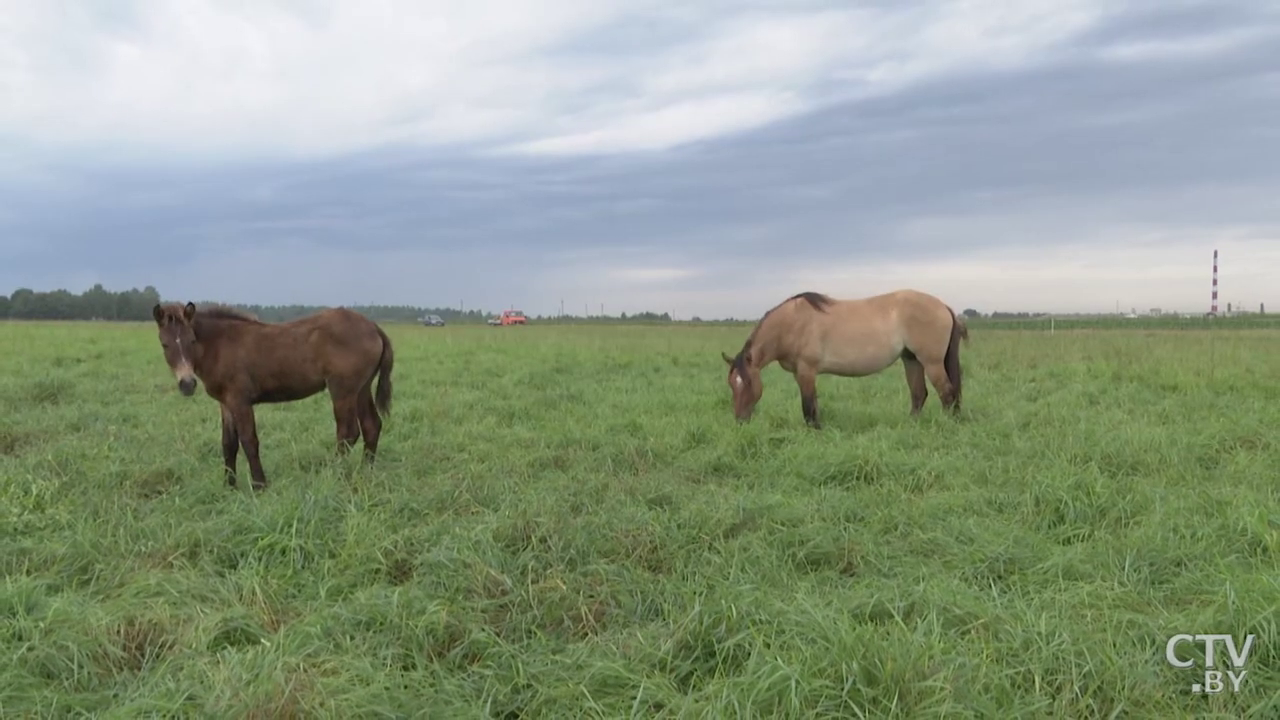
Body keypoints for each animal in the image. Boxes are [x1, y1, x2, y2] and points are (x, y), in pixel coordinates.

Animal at [149, 299, 391, 489]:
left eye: (191, 340)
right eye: (164, 344)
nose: (187, 384)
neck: (220, 346)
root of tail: (373, 327)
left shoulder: (240, 400)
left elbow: (248, 441)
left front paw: (259, 485)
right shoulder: (225, 403)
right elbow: (228, 444)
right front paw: (229, 486)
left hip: (342, 390)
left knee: (347, 432)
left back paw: (336, 474)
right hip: (361, 388)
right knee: (371, 425)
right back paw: (365, 472)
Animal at [721, 288, 967, 427]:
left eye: (748, 383)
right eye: (732, 384)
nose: (740, 421)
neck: (791, 323)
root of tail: (944, 307)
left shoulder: (806, 370)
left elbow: (808, 406)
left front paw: (814, 430)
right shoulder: (802, 374)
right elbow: (813, 404)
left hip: (931, 363)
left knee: (947, 393)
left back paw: (949, 424)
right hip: (911, 360)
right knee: (919, 394)